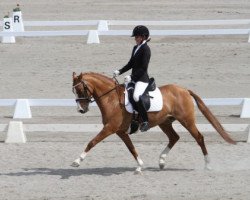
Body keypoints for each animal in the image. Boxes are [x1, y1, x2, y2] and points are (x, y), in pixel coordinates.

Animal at [71, 71, 235, 173]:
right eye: (74, 91)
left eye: (80, 90)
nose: (81, 110)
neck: (111, 99)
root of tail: (184, 90)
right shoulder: (120, 131)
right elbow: (131, 148)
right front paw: (139, 166)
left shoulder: (110, 128)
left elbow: (92, 142)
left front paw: (77, 161)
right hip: (165, 122)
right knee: (174, 137)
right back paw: (161, 161)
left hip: (186, 120)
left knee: (199, 138)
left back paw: (208, 165)